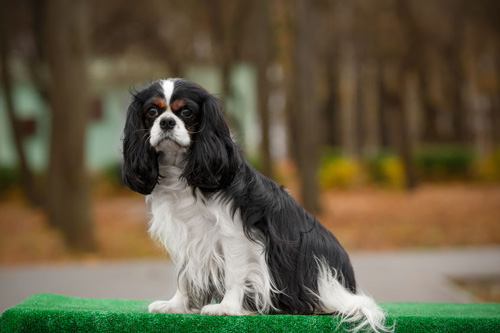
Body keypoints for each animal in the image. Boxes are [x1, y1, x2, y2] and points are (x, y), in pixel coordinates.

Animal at [121, 78, 390, 332]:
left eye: (186, 112)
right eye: (152, 112)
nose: (166, 122)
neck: (183, 171)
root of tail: (347, 285)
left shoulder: (233, 234)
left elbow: (234, 274)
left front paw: (227, 307)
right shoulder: (187, 238)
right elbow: (185, 276)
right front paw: (176, 305)